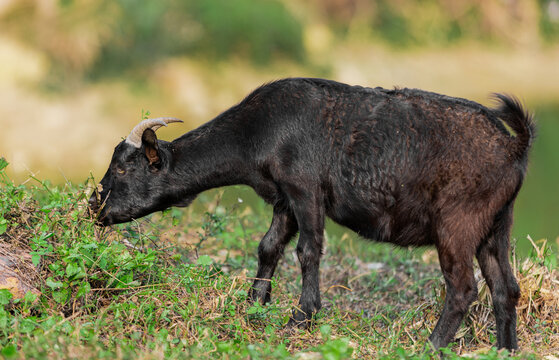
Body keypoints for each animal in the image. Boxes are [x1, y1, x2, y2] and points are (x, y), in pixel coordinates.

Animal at [89, 77, 536, 350]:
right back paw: (504, 349)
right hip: (496, 226)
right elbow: (269, 247)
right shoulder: (284, 200)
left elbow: (308, 251)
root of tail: (514, 147)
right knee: (505, 288)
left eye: (124, 168)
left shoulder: (305, 191)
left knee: (462, 287)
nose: (95, 207)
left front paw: (300, 318)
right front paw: (254, 306)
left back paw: (430, 345)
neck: (260, 129)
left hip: (457, 225)